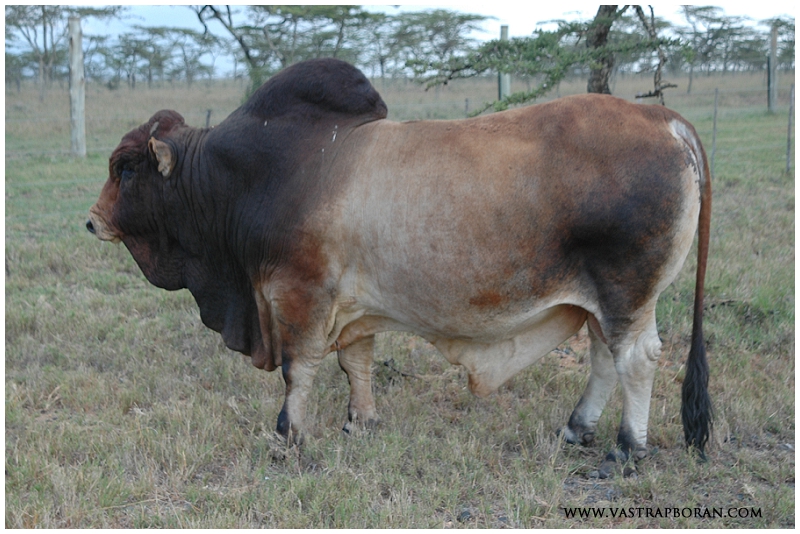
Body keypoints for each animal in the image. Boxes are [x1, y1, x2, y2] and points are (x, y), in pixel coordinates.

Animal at [87, 58, 711, 475]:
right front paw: (359, 423)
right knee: (605, 358)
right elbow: (356, 363)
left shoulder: (300, 295)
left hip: (626, 291)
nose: (92, 221)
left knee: (636, 359)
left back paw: (627, 448)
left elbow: (298, 370)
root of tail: (661, 116)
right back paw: (575, 430)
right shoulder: (353, 305)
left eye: (126, 168)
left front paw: (288, 436)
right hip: (603, 300)